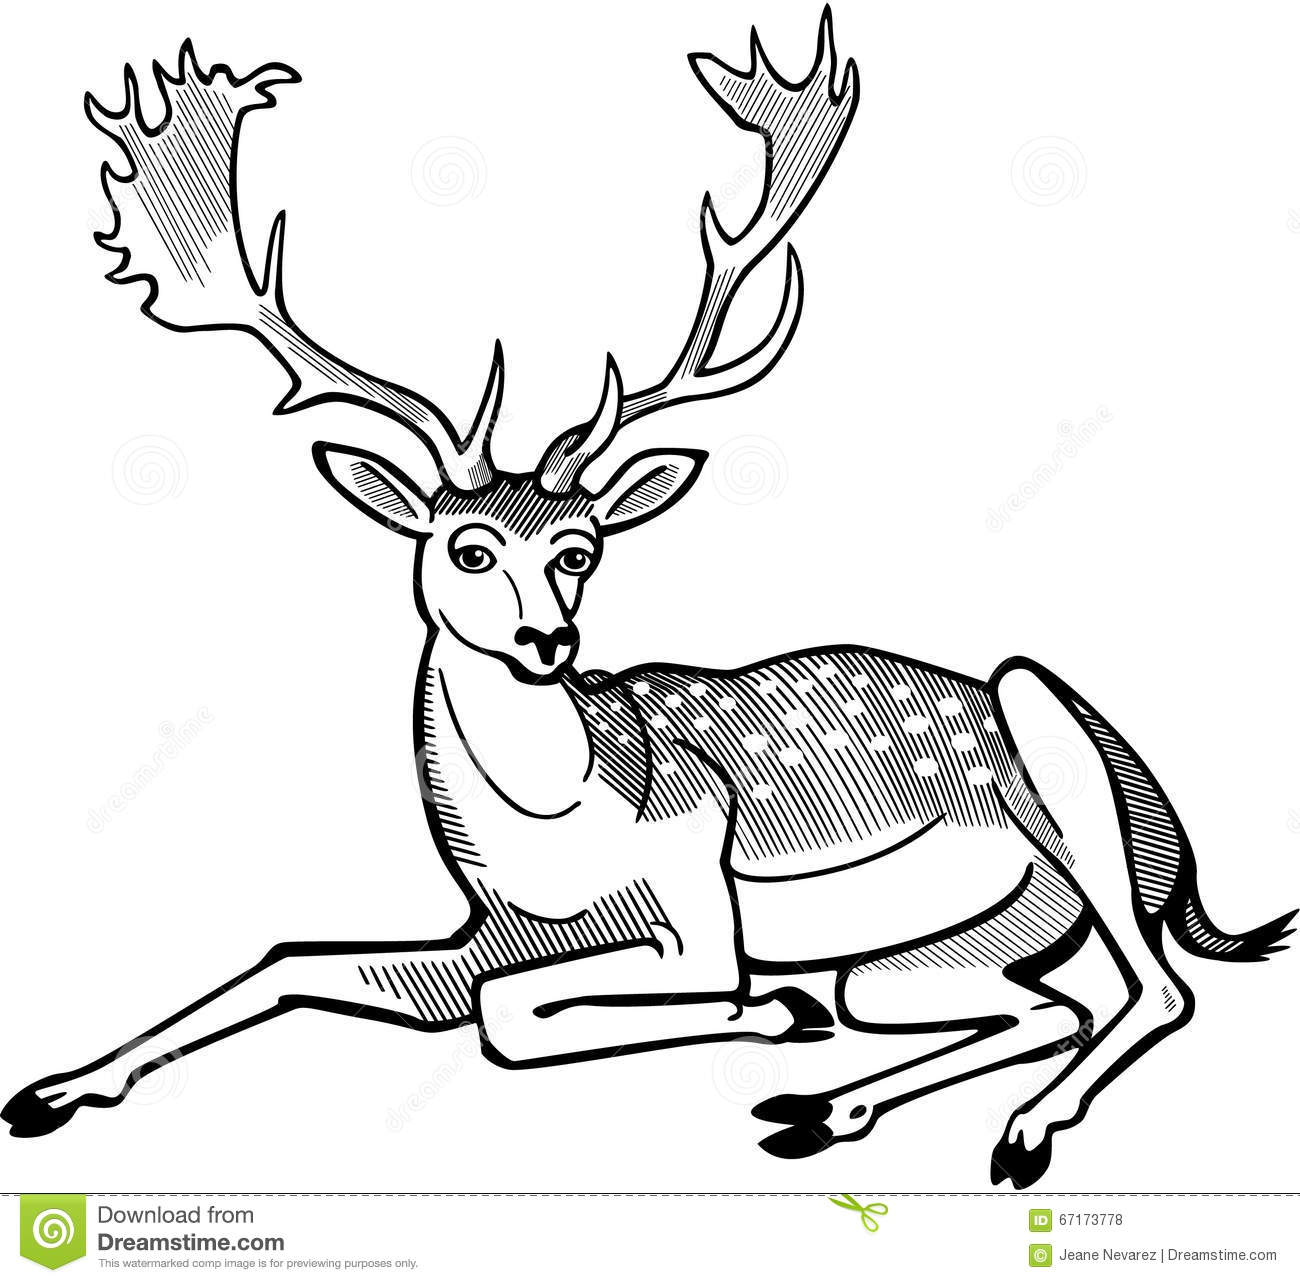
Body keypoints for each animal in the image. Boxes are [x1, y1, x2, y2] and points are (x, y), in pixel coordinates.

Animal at [4, 10, 1292, 1188]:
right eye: (465, 547)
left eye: (580, 548)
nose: (548, 637)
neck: (555, 833)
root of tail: (1179, 857)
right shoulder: (483, 931)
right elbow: (292, 959)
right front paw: (52, 1089)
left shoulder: (693, 899)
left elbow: (522, 1015)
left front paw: (767, 1012)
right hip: (936, 956)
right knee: (1035, 1006)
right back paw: (823, 1107)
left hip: (1052, 753)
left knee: (1151, 988)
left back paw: (1007, 1130)